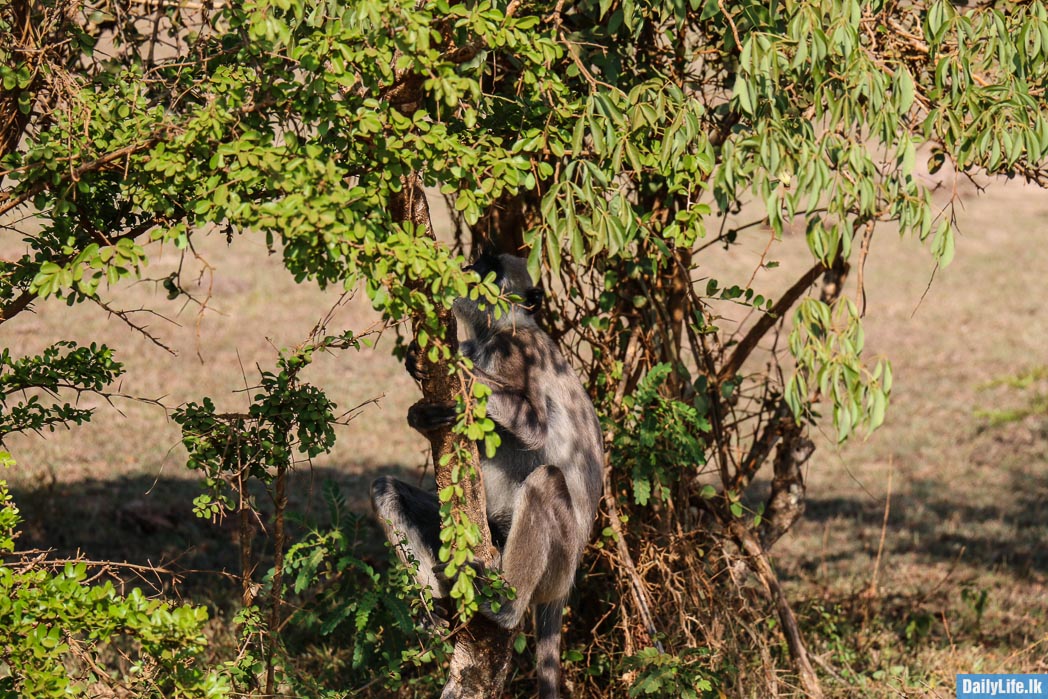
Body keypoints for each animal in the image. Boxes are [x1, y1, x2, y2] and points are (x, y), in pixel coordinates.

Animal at [371, 253, 604, 699]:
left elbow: (534, 428)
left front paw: (455, 365)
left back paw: (506, 609)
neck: (489, 335)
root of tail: (563, 590)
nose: (466, 270)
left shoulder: (515, 349)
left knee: (546, 480)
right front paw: (421, 413)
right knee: (386, 488)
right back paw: (436, 613)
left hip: (559, 560)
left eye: (490, 271)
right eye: (477, 263)